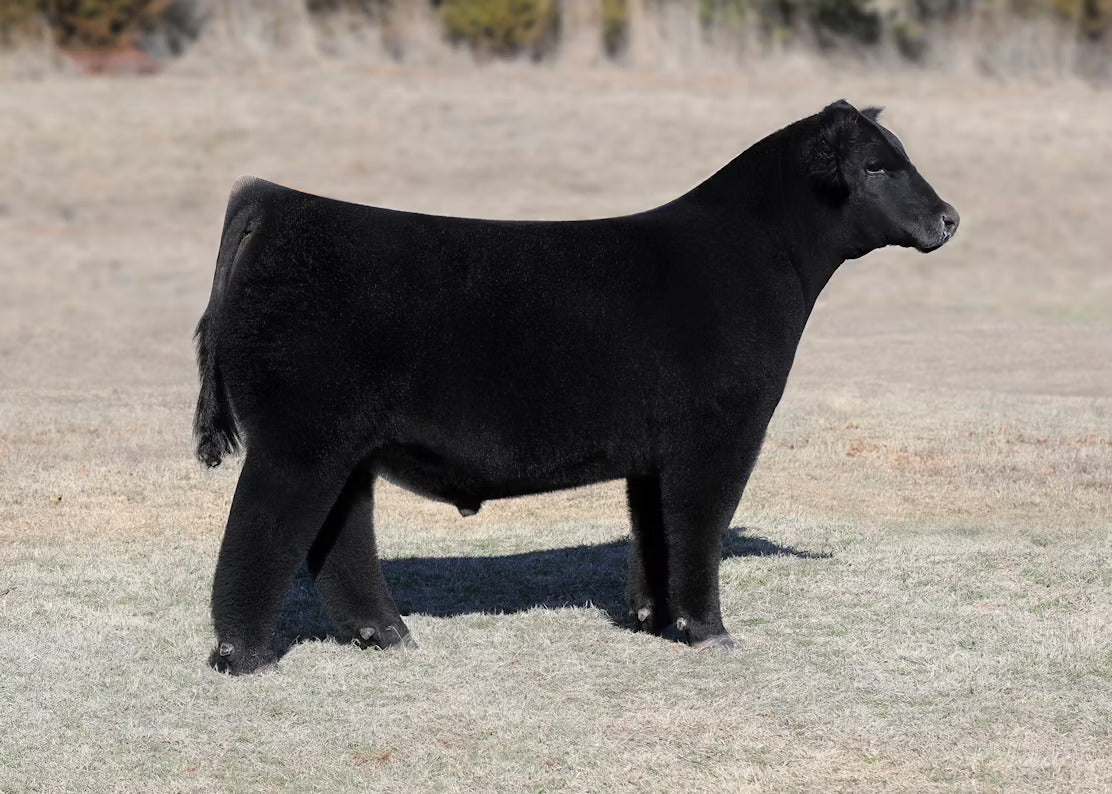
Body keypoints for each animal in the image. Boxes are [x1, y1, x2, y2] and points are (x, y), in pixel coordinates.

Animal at [195, 100, 958, 674]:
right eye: (876, 166)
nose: (949, 217)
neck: (749, 257)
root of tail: (278, 201)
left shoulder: (654, 451)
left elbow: (654, 530)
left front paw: (653, 618)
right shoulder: (721, 433)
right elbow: (699, 525)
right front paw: (710, 631)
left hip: (345, 447)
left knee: (338, 537)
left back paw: (388, 635)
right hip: (299, 441)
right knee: (262, 529)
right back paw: (245, 656)